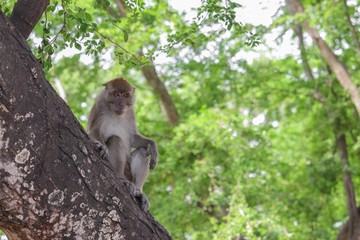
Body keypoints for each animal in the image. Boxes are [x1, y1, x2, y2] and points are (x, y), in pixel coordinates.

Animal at [87, 78, 158, 211]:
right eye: (115, 94)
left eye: (125, 96)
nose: (121, 104)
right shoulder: (100, 105)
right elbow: (94, 130)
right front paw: (102, 146)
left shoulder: (131, 113)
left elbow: (133, 138)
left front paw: (153, 146)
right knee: (116, 139)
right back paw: (120, 179)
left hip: (129, 171)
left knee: (143, 151)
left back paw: (138, 191)